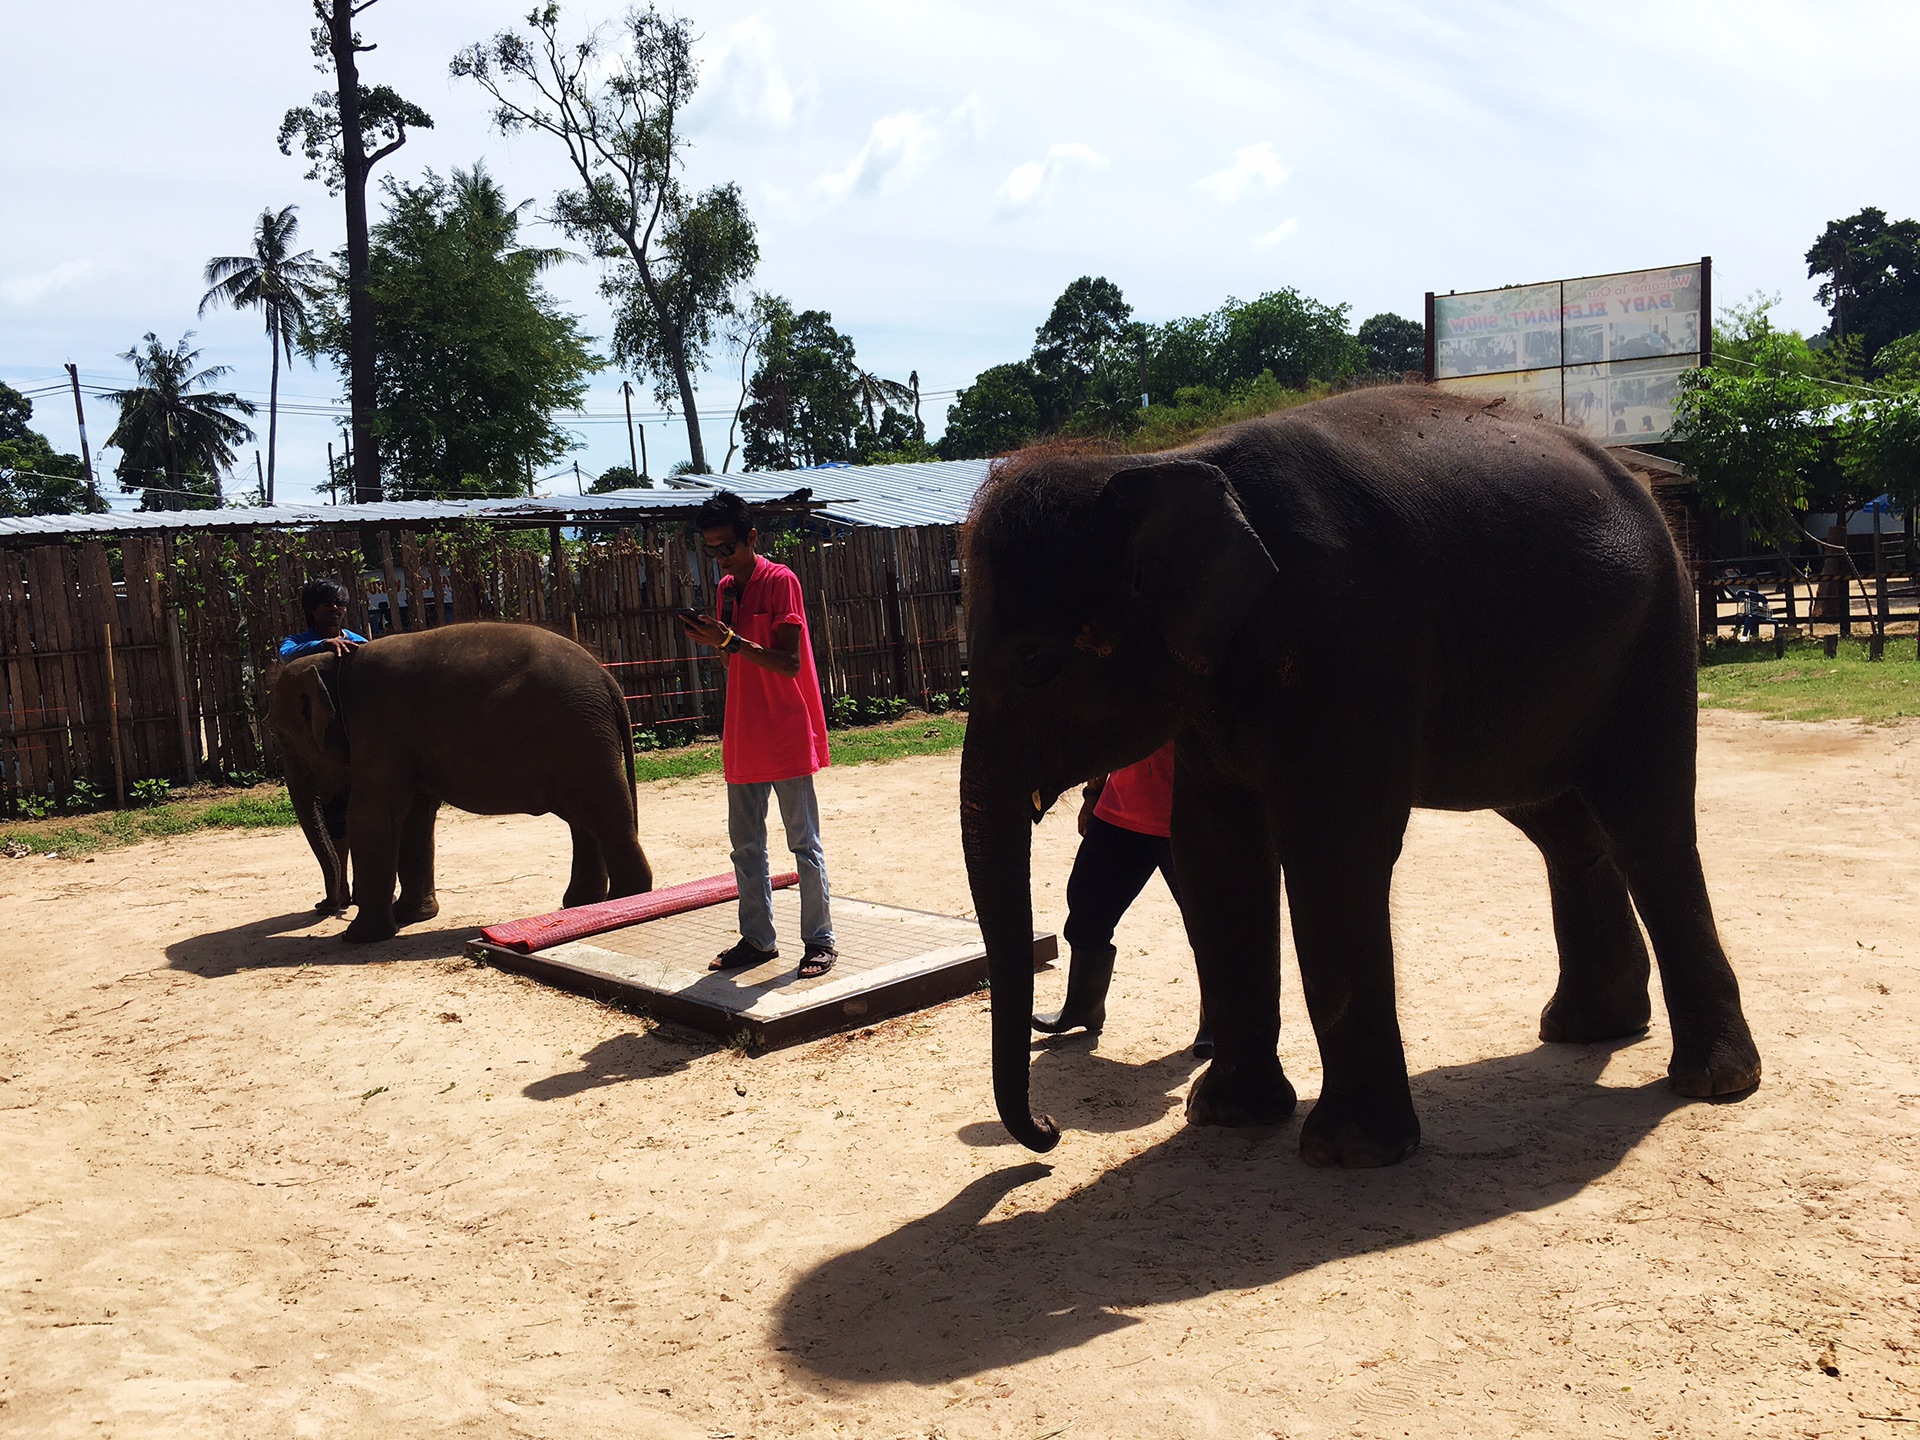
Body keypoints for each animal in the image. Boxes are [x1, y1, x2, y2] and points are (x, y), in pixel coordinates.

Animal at [263, 622, 656, 948]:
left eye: (283, 737)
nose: (328, 907)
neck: (334, 664)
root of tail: (608, 681)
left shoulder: (377, 728)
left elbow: (372, 816)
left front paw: (357, 938)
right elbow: (415, 816)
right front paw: (412, 917)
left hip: (580, 736)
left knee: (602, 814)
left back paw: (627, 901)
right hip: (582, 738)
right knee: (584, 818)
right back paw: (580, 906)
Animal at [967, 391, 1758, 1175]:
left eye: (1033, 664)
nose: (1048, 1136)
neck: (1166, 459)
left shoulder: (1350, 636)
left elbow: (1332, 850)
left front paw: (1350, 1151)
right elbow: (1214, 853)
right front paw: (1227, 1116)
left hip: (1656, 629)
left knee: (1646, 824)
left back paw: (1715, 1081)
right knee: (1559, 823)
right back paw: (1589, 1029)